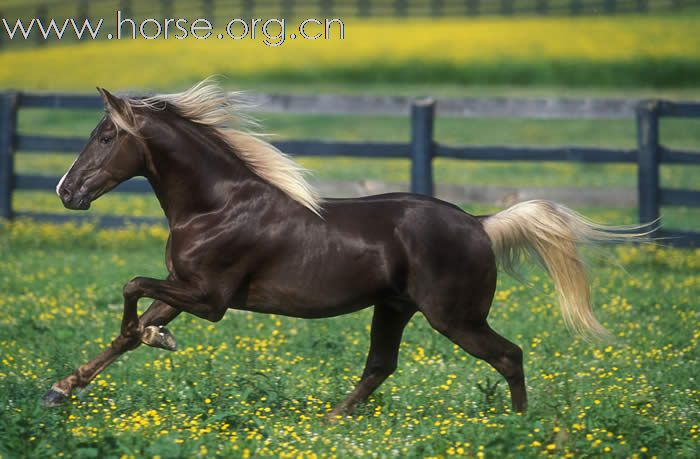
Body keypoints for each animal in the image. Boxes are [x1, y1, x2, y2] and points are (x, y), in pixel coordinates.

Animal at [45, 79, 640, 416]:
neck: (217, 205)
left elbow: (130, 289)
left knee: (508, 355)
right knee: (380, 365)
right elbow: (127, 330)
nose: (66, 192)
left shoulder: (210, 299)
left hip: (454, 317)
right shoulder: (183, 287)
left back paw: (521, 425)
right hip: (394, 308)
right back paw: (334, 417)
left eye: (105, 137)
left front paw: (155, 339)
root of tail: (481, 223)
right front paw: (62, 389)